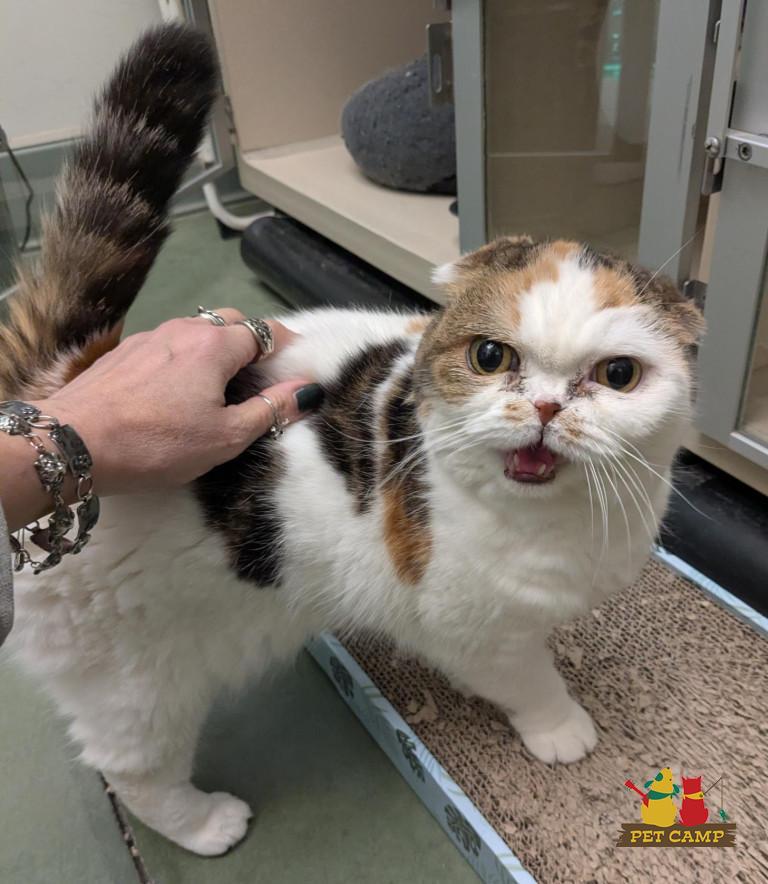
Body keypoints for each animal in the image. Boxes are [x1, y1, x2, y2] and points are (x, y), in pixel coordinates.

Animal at [0, 25, 704, 856]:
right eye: (490, 357)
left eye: (618, 374)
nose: (542, 406)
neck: (559, 521)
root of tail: (60, 383)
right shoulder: (469, 630)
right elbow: (527, 679)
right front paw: (561, 724)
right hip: (135, 679)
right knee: (129, 765)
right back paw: (203, 824)